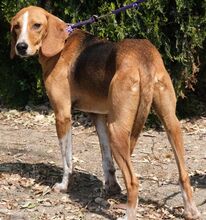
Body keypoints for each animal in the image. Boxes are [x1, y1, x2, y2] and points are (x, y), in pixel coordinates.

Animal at [10, 5, 200, 220]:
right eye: (16, 26)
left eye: (37, 25)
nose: (21, 47)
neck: (61, 44)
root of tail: (143, 57)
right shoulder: (99, 116)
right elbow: (106, 159)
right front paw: (111, 188)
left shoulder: (62, 115)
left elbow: (67, 159)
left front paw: (64, 185)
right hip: (171, 124)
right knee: (183, 174)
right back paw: (191, 210)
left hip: (116, 130)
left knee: (133, 181)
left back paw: (128, 214)